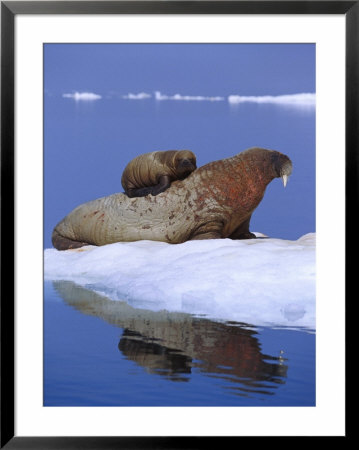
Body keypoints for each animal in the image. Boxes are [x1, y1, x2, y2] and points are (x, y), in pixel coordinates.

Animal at [52, 147, 292, 250]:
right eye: (273, 155)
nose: (287, 157)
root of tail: (58, 224)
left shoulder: (243, 217)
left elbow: (243, 230)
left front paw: (251, 237)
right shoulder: (210, 219)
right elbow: (208, 233)